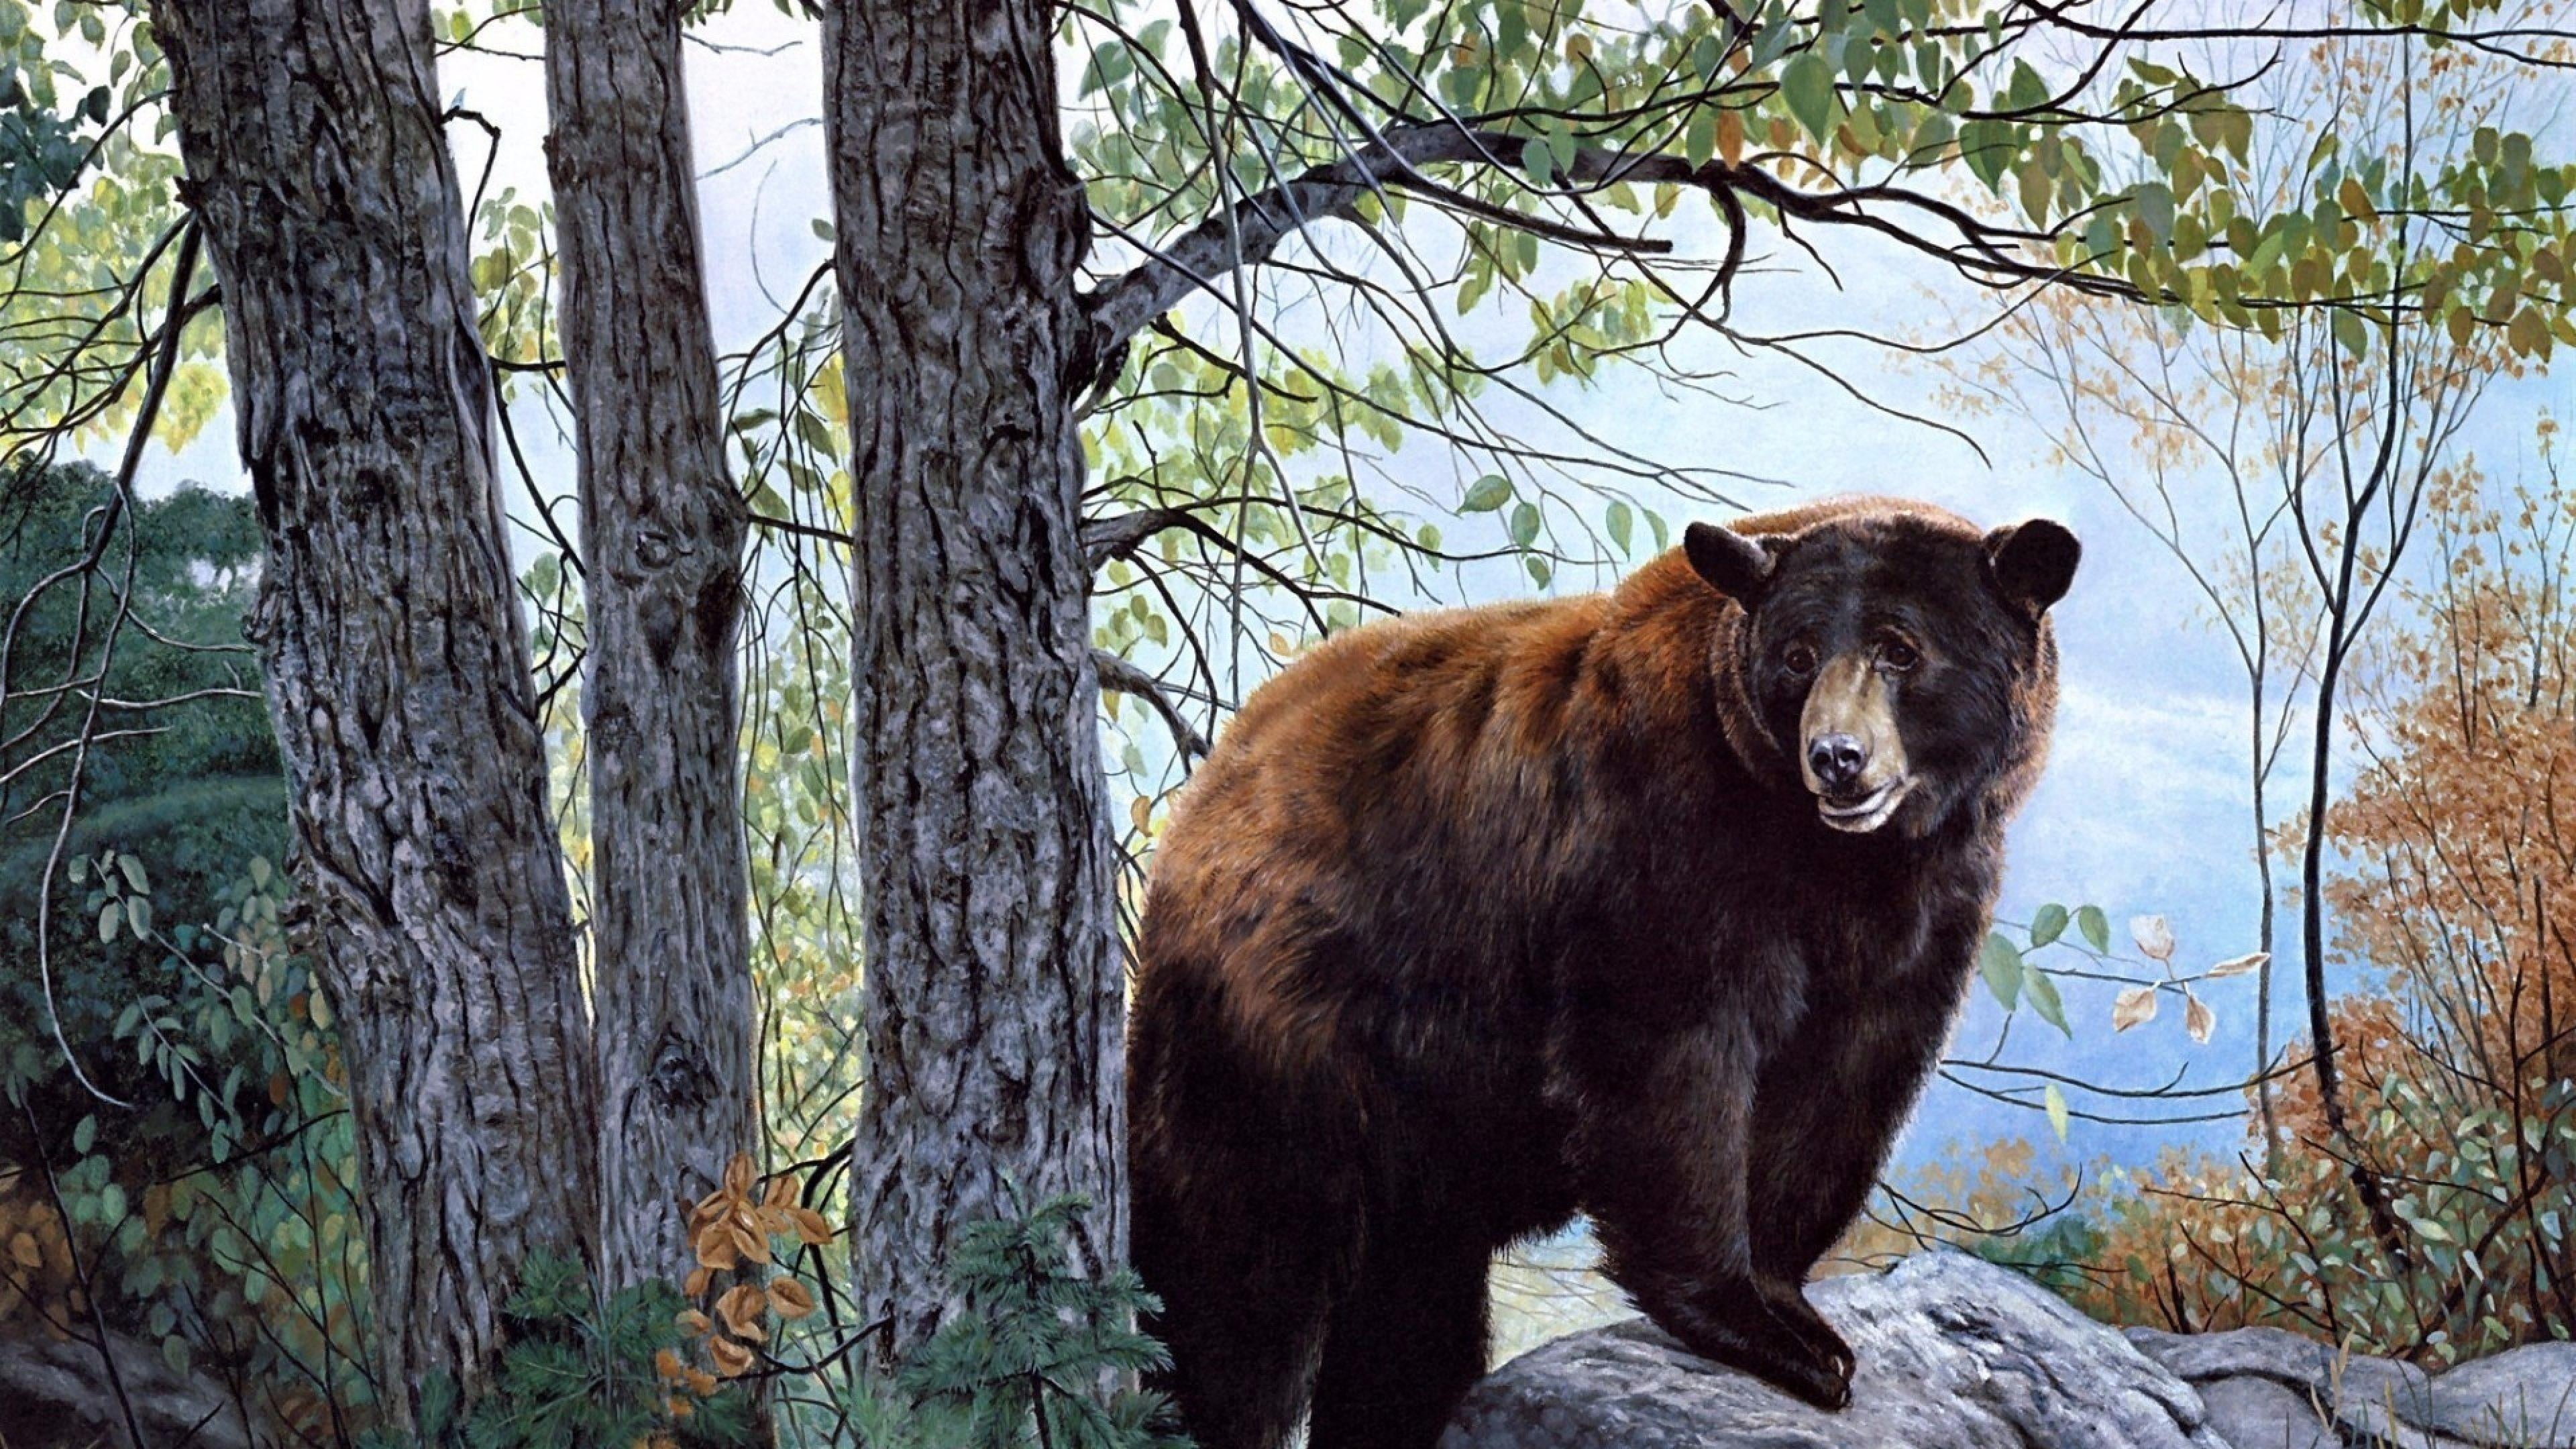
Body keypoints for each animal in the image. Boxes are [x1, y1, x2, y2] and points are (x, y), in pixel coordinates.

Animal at [1125, 496, 2080, 1449]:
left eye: (1901, 650)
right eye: (1799, 655)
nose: (1838, 757)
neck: (1833, 859)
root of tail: (1211, 784)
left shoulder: (1924, 908)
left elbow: (1842, 1084)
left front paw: (1791, 1305)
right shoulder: (1661, 834)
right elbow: (1666, 1058)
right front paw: (1754, 1325)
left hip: (1424, 1117)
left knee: (1411, 1306)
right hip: (1282, 1021)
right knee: (1235, 1272)